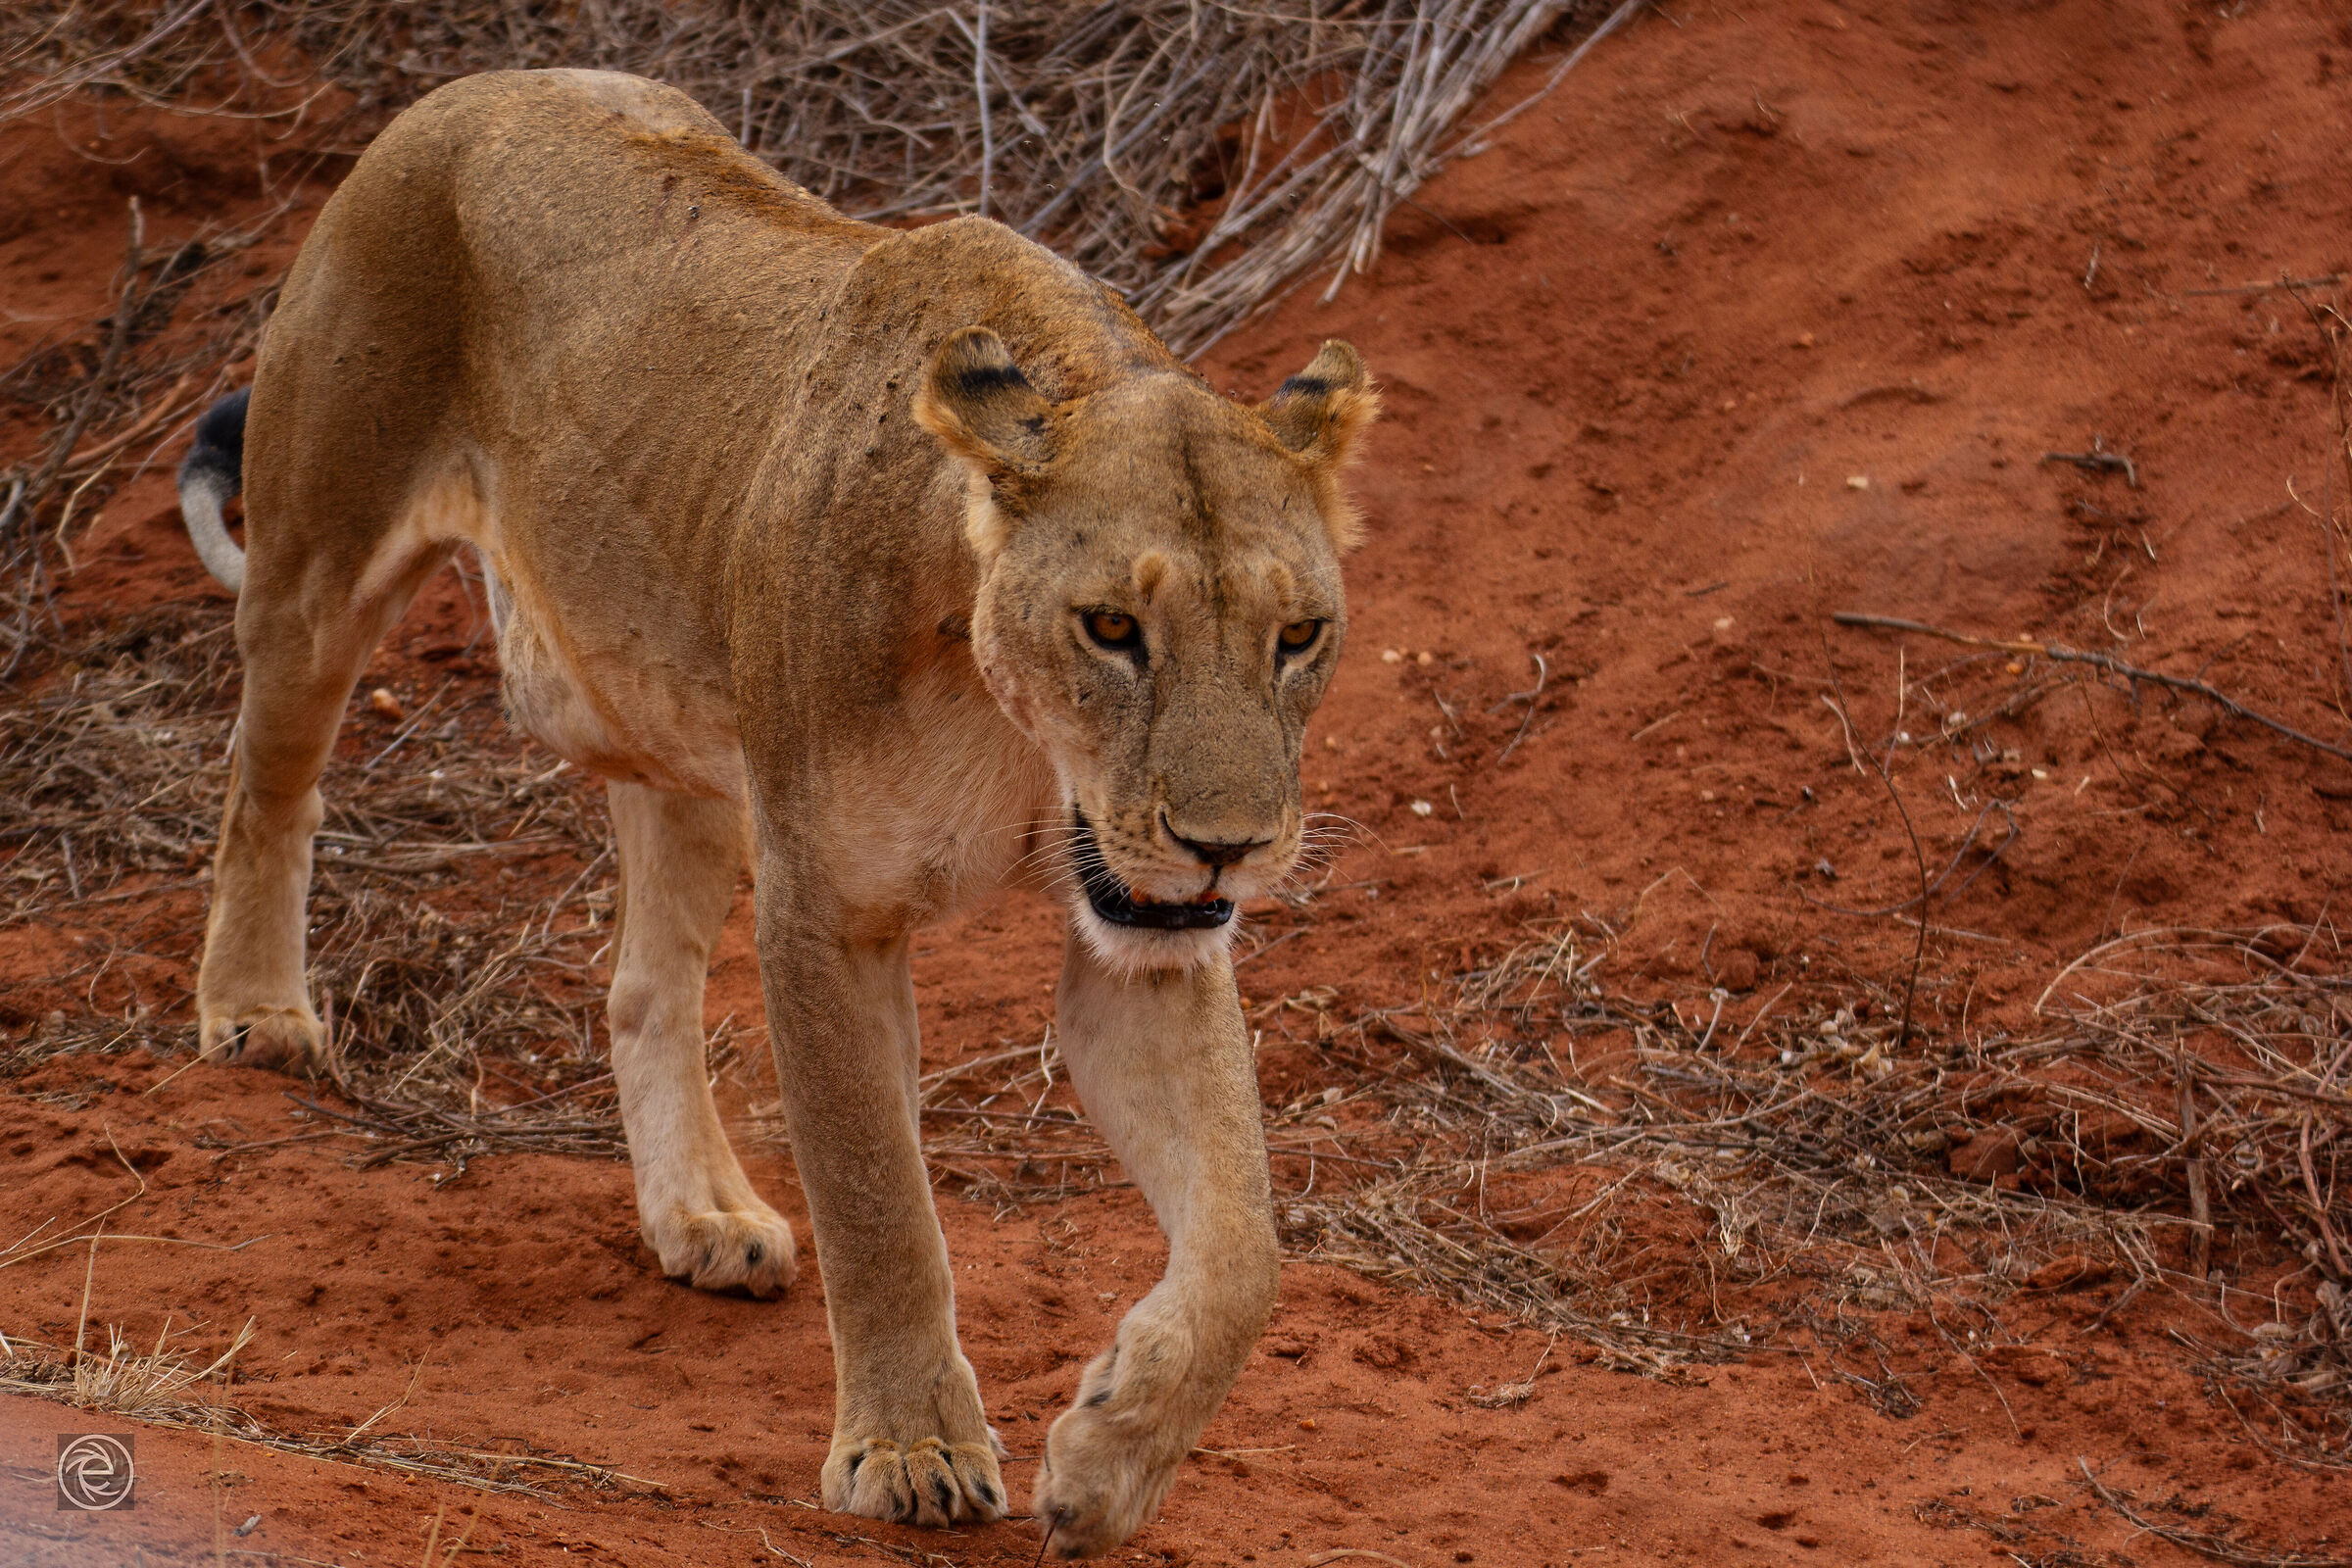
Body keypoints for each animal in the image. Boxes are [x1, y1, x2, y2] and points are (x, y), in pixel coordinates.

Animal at [177, 68, 1376, 1556]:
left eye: (1298, 635)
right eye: (1111, 628)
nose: (1229, 848)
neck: (1017, 725)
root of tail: (476, 86)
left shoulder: (1139, 945)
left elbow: (1243, 1247)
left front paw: (1111, 1455)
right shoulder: (828, 913)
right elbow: (881, 1203)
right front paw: (912, 1452)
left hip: (689, 741)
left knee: (643, 985)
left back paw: (701, 1212)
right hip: (321, 565)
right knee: (265, 784)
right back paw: (256, 1012)